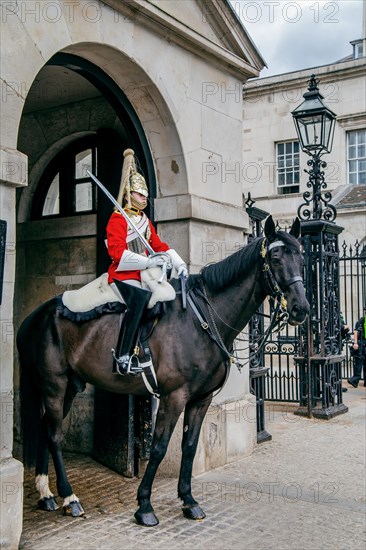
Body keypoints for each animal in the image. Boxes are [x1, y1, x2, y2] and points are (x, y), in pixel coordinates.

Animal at [17, 215, 308, 528]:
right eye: (276, 258)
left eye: (301, 257)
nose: (301, 309)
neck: (201, 319)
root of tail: (34, 316)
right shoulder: (174, 396)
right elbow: (159, 447)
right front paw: (144, 505)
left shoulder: (201, 399)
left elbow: (189, 446)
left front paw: (189, 500)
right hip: (54, 385)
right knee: (55, 435)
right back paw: (69, 498)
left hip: (70, 386)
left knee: (46, 429)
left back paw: (46, 494)